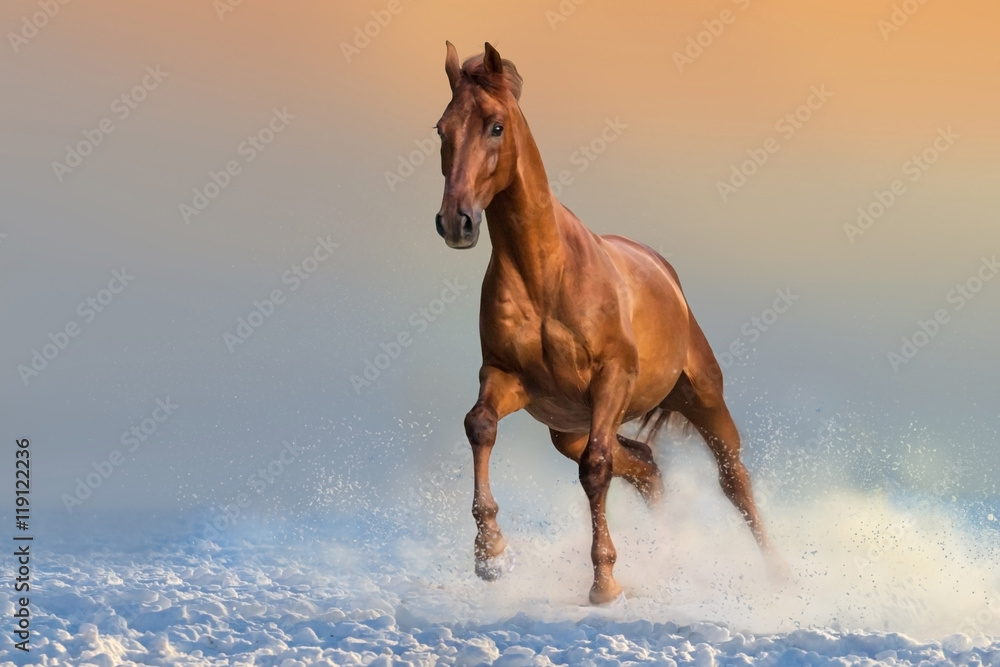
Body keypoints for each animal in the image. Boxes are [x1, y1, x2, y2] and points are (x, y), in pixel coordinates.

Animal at [433, 41, 783, 605]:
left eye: (495, 126)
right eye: (441, 129)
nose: (455, 222)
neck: (545, 274)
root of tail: (664, 271)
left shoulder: (611, 380)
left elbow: (595, 471)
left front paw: (603, 583)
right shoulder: (506, 377)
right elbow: (480, 425)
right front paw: (490, 555)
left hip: (701, 397)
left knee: (733, 480)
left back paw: (780, 575)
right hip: (568, 430)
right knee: (644, 469)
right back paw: (669, 556)